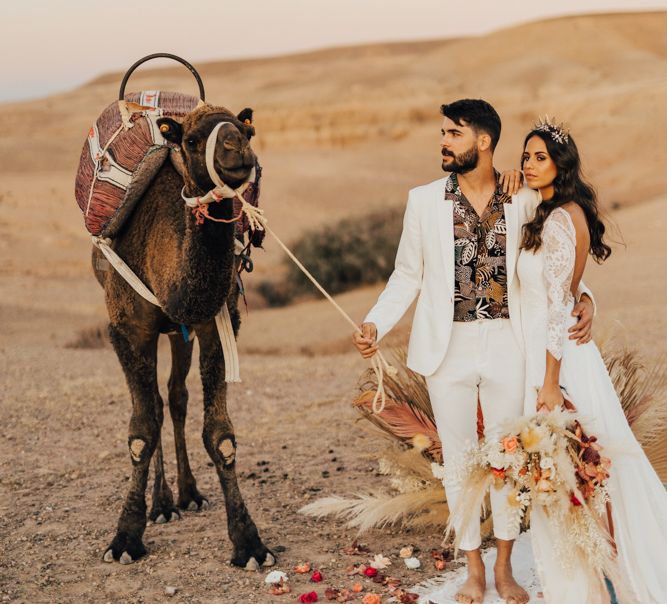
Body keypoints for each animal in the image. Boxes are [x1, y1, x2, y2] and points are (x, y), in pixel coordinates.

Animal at [91, 105, 274, 572]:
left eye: (246, 129)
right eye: (191, 140)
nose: (237, 149)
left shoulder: (214, 323)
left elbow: (220, 436)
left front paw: (248, 543)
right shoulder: (126, 329)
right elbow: (141, 432)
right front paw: (125, 537)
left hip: (179, 334)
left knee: (174, 398)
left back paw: (186, 495)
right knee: (157, 405)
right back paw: (162, 504)